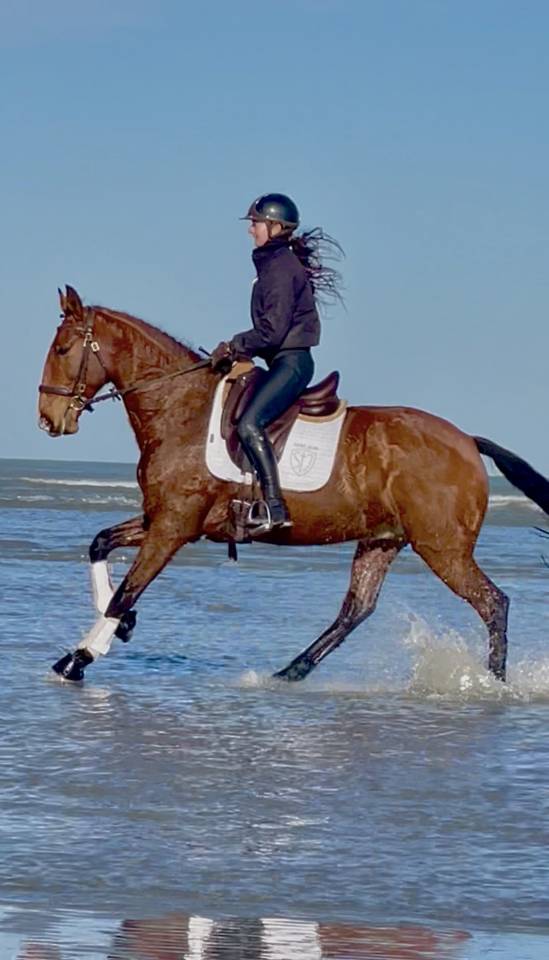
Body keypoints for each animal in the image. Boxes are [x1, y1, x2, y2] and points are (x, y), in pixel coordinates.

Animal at [38, 285, 549, 684]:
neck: (181, 409)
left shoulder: (173, 527)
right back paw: (289, 672)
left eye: (62, 351)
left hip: (442, 548)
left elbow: (128, 588)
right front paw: (121, 627)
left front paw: (79, 658)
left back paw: (493, 682)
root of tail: (466, 441)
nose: (48, 419)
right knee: (356, 609)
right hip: (382, 539)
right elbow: (101, 545)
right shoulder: (161, 517)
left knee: (493, 603)